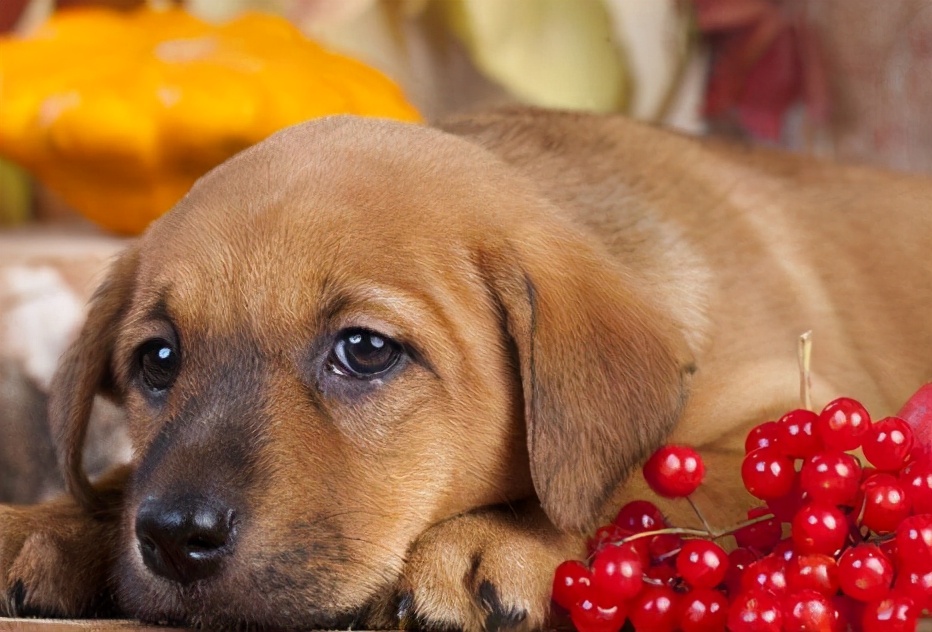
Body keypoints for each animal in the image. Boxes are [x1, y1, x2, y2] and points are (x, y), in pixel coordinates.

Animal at [1, 108, 932, 628]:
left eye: (365, 350)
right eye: (158, 360)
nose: (171, 537)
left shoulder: (800, 420)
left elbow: (650, 477)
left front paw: (498, 539)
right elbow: (121, 475)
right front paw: (55, 522)